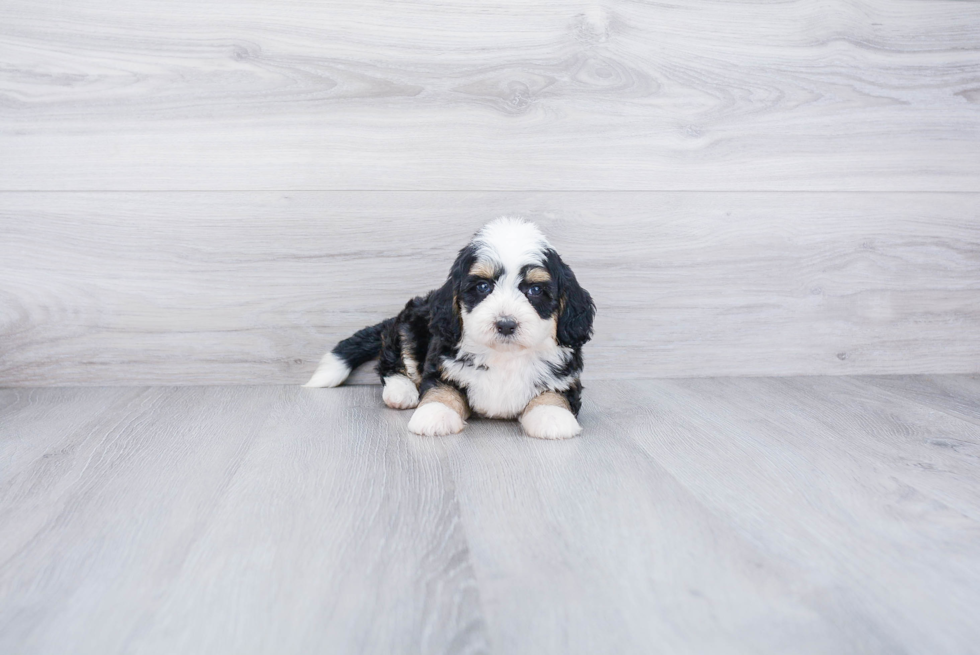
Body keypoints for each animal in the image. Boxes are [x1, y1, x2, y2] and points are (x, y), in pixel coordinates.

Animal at [306, 218, 592, 438]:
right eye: (482, 287)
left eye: (535, 290)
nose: (505, 324)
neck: (504, 356)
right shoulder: (442, 363)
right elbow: (441, 390)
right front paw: (435, 414)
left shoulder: (565, 377)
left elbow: (555, 394)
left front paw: (552, 416)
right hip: (410, 326)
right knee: (392, 360)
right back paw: (401, 391)